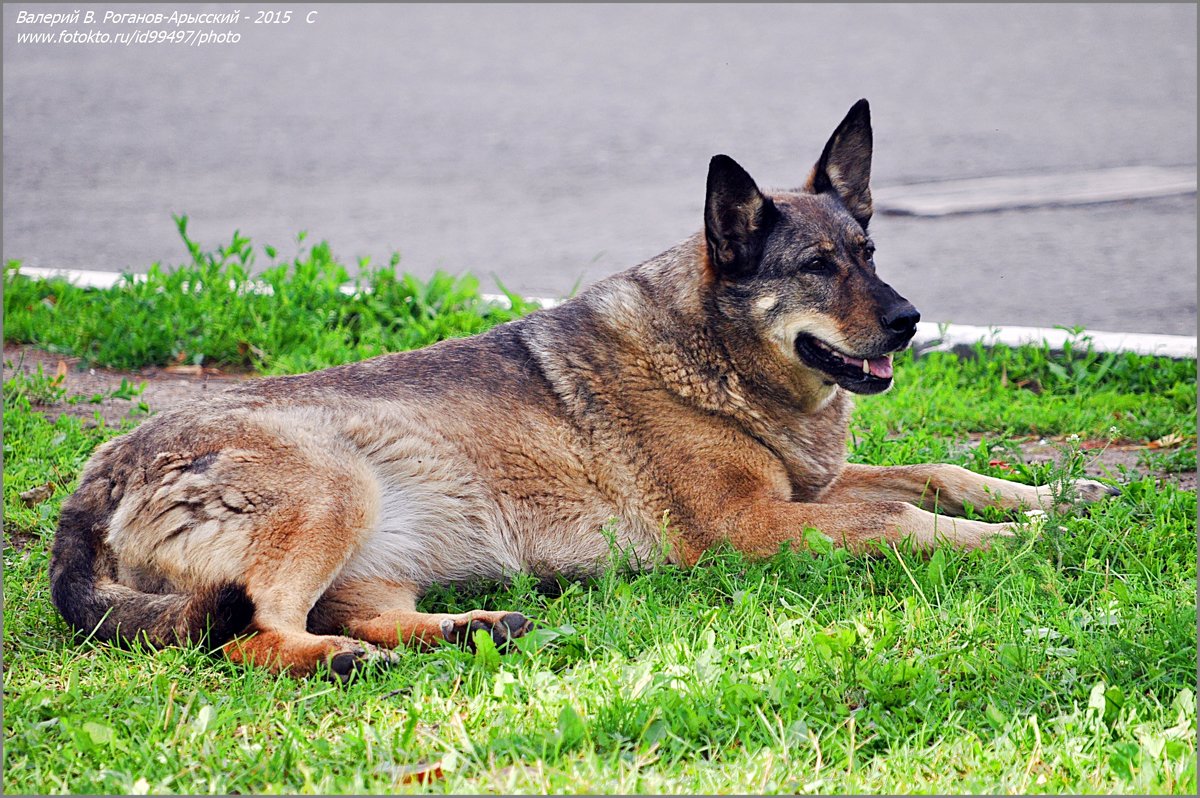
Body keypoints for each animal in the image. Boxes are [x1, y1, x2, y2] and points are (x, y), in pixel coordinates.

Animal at [46, 96, 1113, 676]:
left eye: (869, 253)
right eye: (817, 267)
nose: (910, 321)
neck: (710, 359)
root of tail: (97, 479)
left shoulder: (812, 489)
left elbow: (938, 473)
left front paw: (1056, 498)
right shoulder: (761, 528)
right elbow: (910, 521)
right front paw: (1023, 541)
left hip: (378, 552)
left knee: (354, 616)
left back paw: (473, 628)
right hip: (332, 493)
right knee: (249, 634)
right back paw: (344, 661)